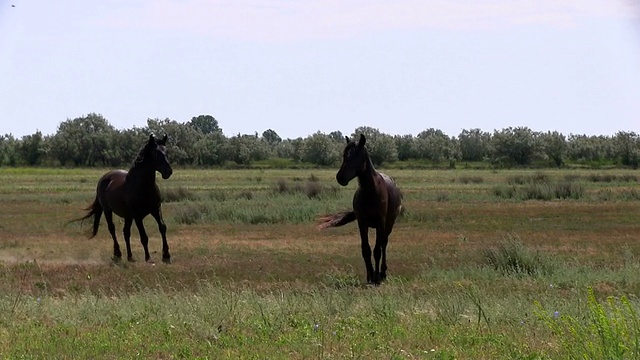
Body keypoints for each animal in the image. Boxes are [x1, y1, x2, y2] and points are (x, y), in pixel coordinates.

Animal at [71, 134, 172, 262]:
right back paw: (117, 253)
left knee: (126, 232)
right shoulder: (137, 216)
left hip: (127, 216)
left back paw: (130, 256)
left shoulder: (156, 210)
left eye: (166, 151)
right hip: (107, 211)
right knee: (112, 229)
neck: (143, 186)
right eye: (156, 153)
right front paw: (148, 258)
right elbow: (144, 236)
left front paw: (166, 255)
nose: (168, 171)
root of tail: (104, 178)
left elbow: (162, 227)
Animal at [318, 135, 402, 284]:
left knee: (384, 243)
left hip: (389, 224)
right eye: (345, 155)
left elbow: (377, 250)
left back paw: (383, 273)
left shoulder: (380, 223)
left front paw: (376, 278)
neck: (370, 192)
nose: (340, 177)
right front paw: (370, 276)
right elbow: (366, 250)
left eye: (356, 156)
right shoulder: (362, 223)